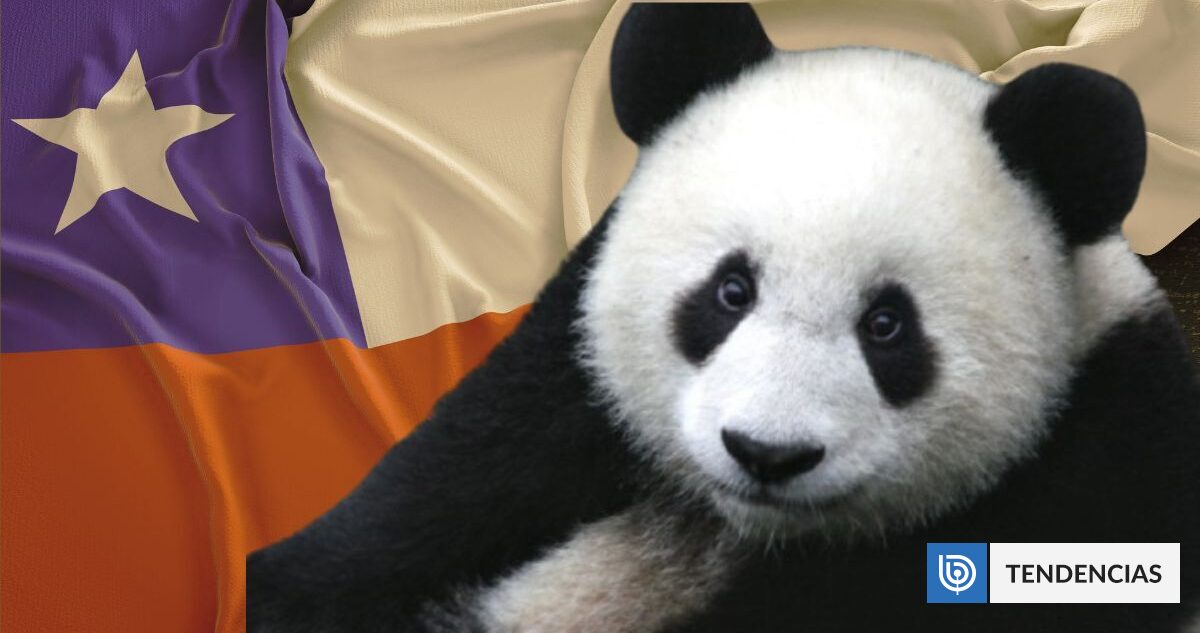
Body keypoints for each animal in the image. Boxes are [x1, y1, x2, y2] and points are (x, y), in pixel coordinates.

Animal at [248, 3, 1200, 632]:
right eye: (729, 292)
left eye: (887, 326)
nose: (767, 453)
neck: (736, 525)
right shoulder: (563, 386)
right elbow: (387, 527)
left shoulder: (1091, 481)